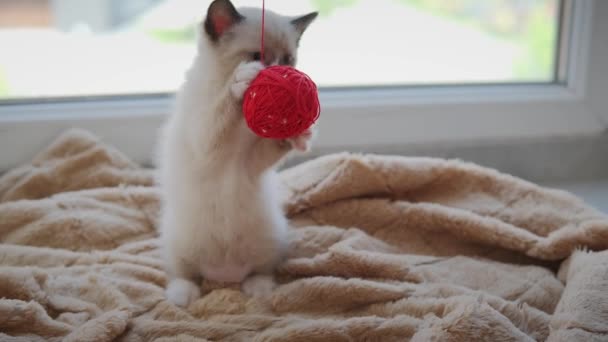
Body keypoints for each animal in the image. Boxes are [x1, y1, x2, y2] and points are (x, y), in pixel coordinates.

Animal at [156, 0, 318, 306]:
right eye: (258, 56)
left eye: (288, 60)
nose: (278, 71)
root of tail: (224, 275)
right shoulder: (205, 142)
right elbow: (220, 109)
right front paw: (242, 81)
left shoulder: (253, 162)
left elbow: (275, 144)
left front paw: (299, 132)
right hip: (178, 242)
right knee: (184, 274)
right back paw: (183, 295)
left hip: (271, 237)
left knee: (260, 271)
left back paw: (259, 288)